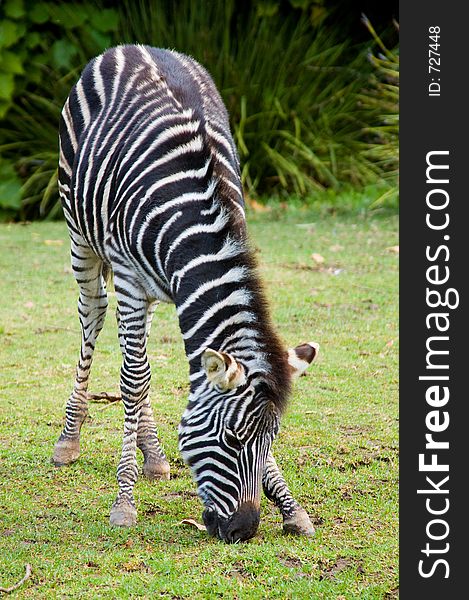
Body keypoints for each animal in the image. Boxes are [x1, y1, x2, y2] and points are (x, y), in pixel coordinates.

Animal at [53, 45, 320, 544]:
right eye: (231, 441)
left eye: (271, 442)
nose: (244, 531)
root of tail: (133, 47)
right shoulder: (131, 280)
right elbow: (132, 380)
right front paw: (124, 503)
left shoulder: (179, 285)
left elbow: (146, 373)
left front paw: (291, 506)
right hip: (81, 237)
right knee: (94, 315)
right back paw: (69, 439)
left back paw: (154, 455)